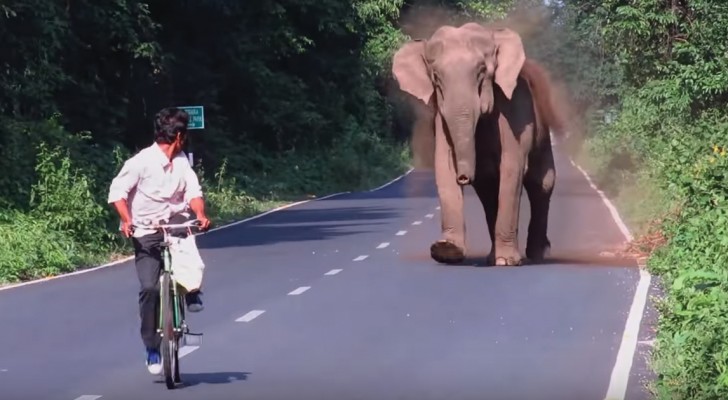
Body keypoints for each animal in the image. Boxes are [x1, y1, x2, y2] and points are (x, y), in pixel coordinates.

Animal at [392, 21, 568, 266]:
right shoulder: (441, 118)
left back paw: (536, 254)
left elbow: (512, 169)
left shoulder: (516, 106)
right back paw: (492, 257)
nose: (464, 178)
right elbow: (444, 166)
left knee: (540, 183)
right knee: (488, 190)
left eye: (481, 72)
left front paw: (507, 262)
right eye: (436, 78)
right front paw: (446, 251)